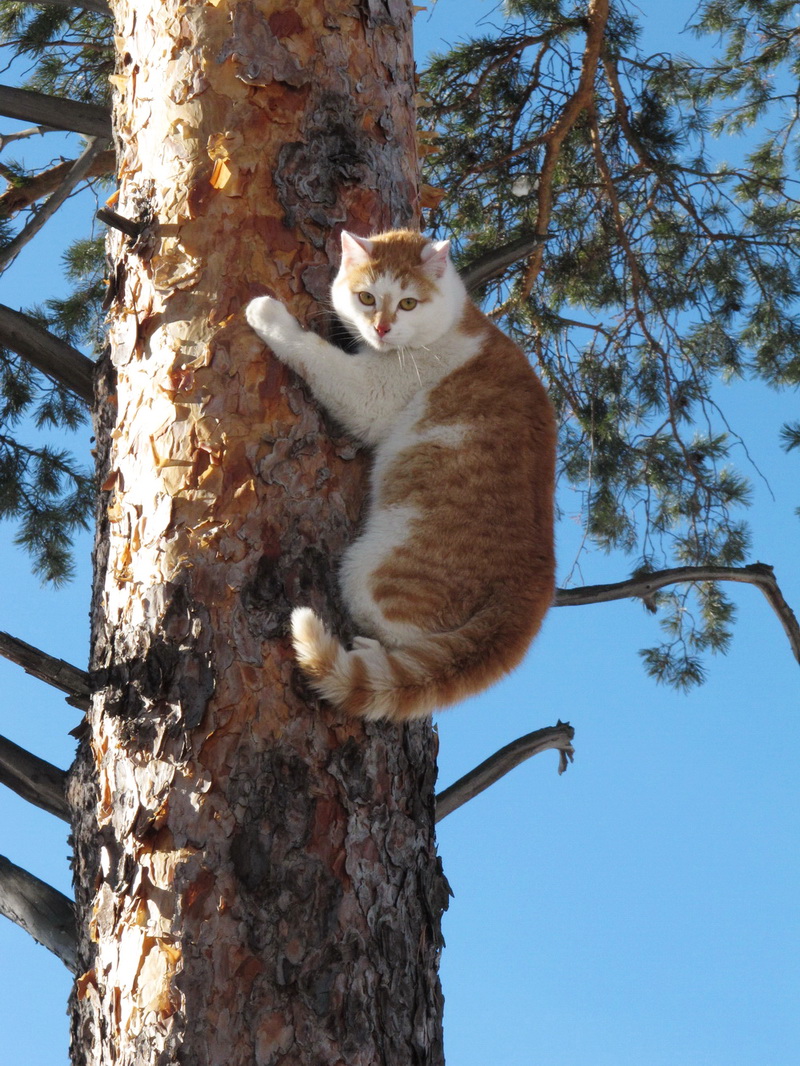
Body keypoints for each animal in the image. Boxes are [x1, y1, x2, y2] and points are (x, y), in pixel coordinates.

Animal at [246, 228, 558, 720]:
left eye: (408, 303)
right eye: (367, 297)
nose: (381, 328)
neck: (454, 325)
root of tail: (531, 594)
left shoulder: (369, 394)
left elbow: (314, 353)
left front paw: (267, 312)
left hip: (366, 573)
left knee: (400, 640)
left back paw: (370, 656)